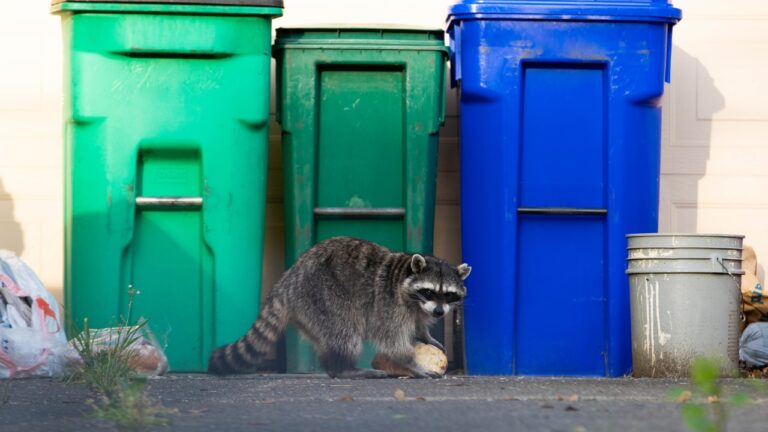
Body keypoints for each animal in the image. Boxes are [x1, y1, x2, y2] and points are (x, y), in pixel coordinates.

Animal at [207, 236, 471, 379]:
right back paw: (343, 369)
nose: (439, 312)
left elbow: (418, 324)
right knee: (346, 334)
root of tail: (287, 281)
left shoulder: (418, 309)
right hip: (321, 297)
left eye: (449, 295)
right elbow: (393, 341)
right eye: (429, 291)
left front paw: (425, 335)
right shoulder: (389, 306)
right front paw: (411, 364)